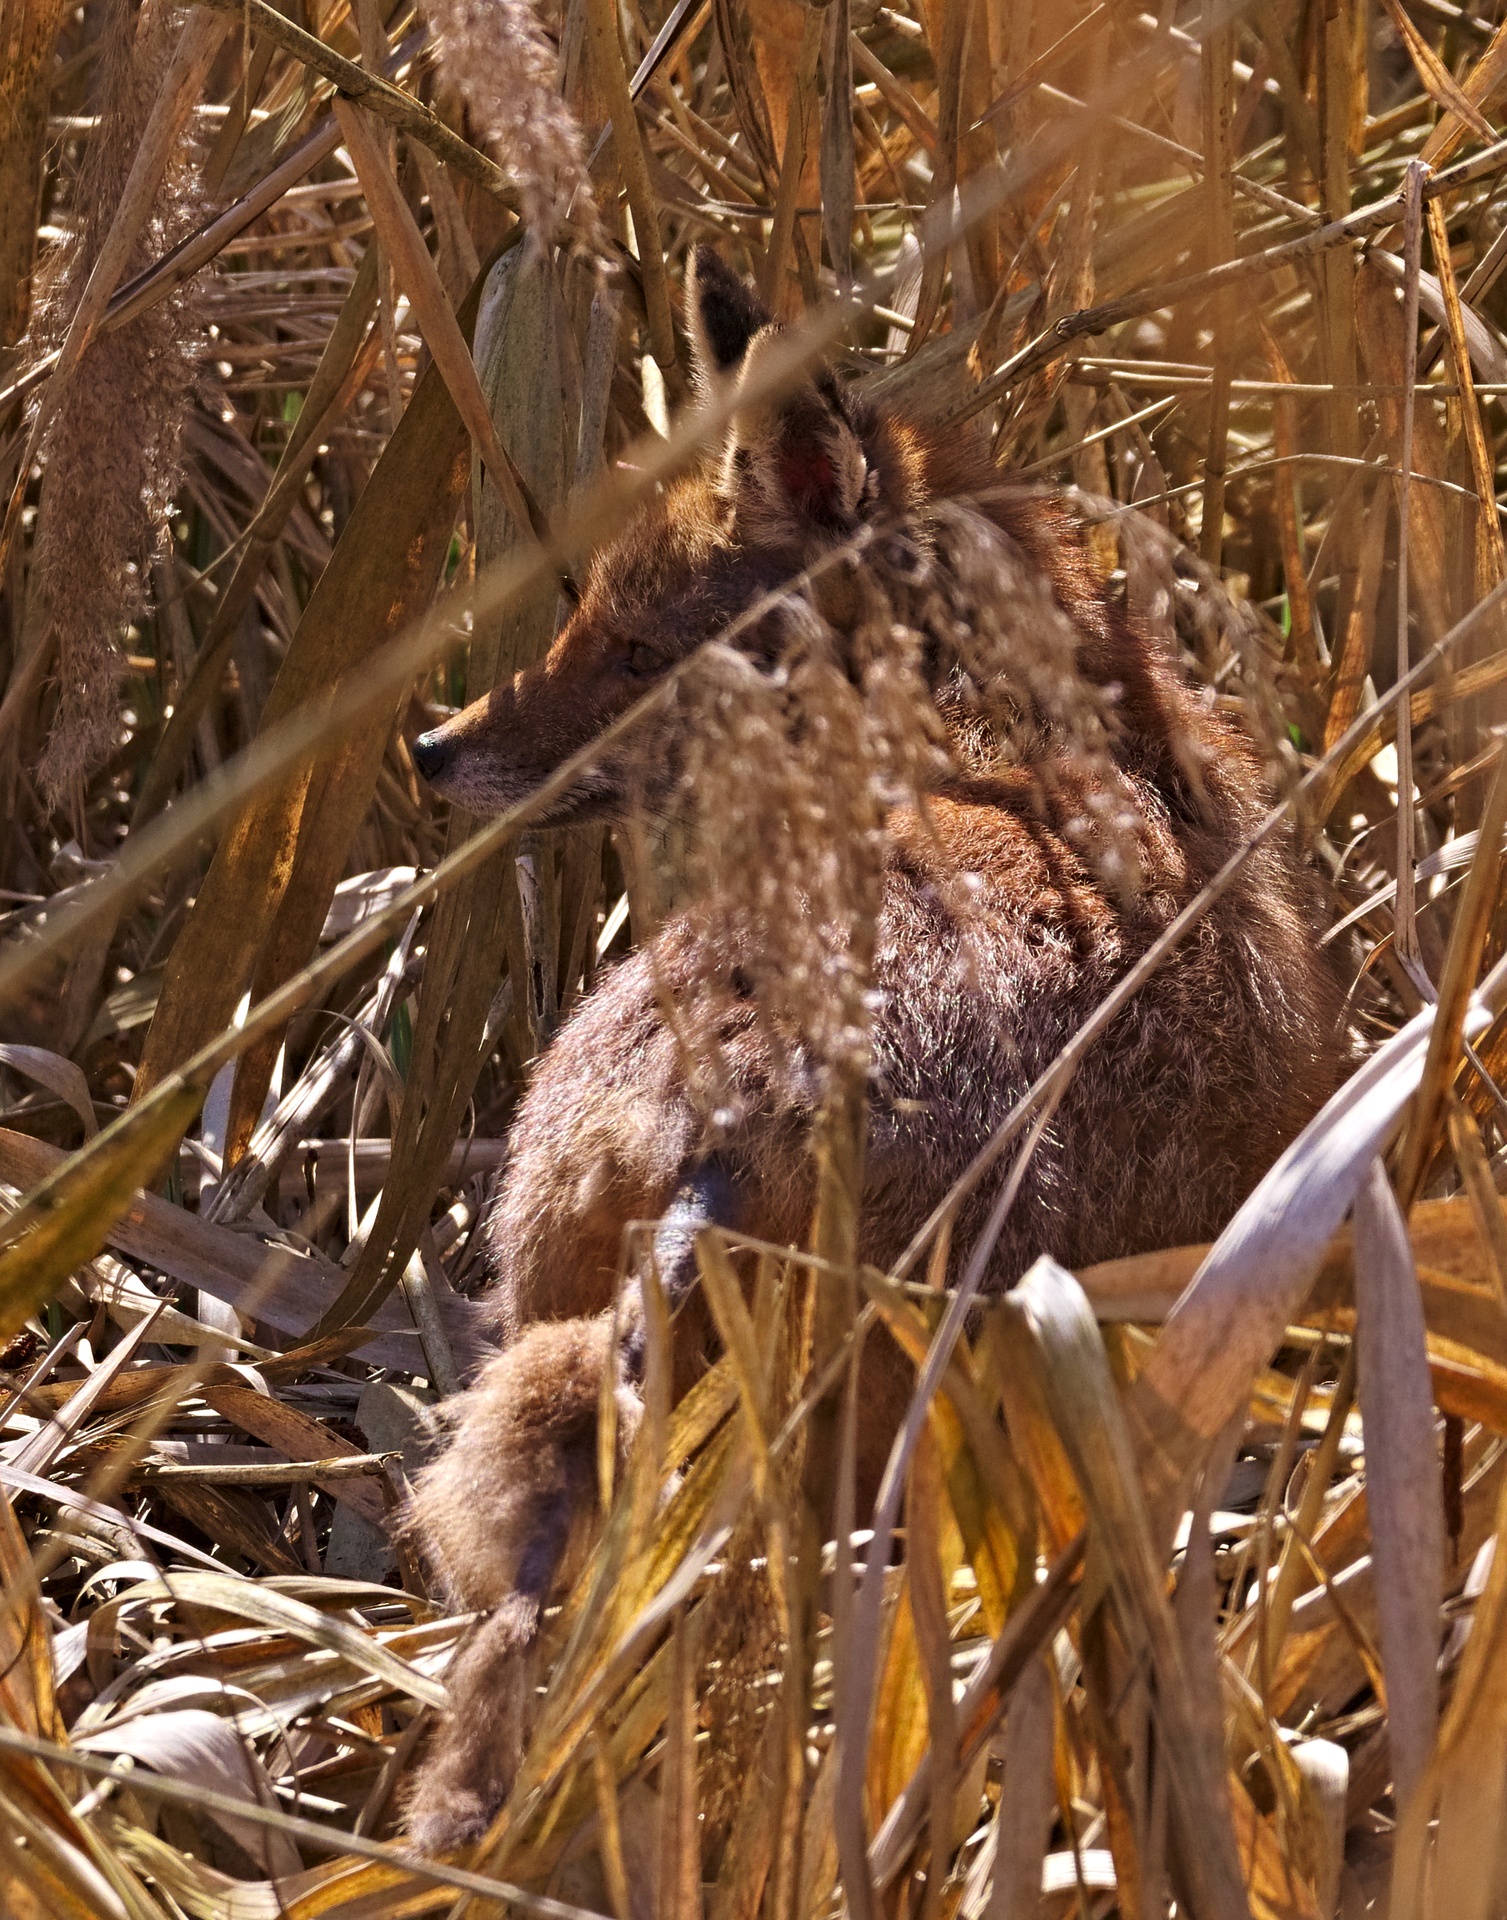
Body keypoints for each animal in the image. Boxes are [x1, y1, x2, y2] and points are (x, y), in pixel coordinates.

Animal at [398, 249, 1344, 1850]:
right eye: (586, 620)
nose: (429, 749)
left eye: (637, 648)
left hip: (548, 1281)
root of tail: (732, 1098)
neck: (1001, 746)